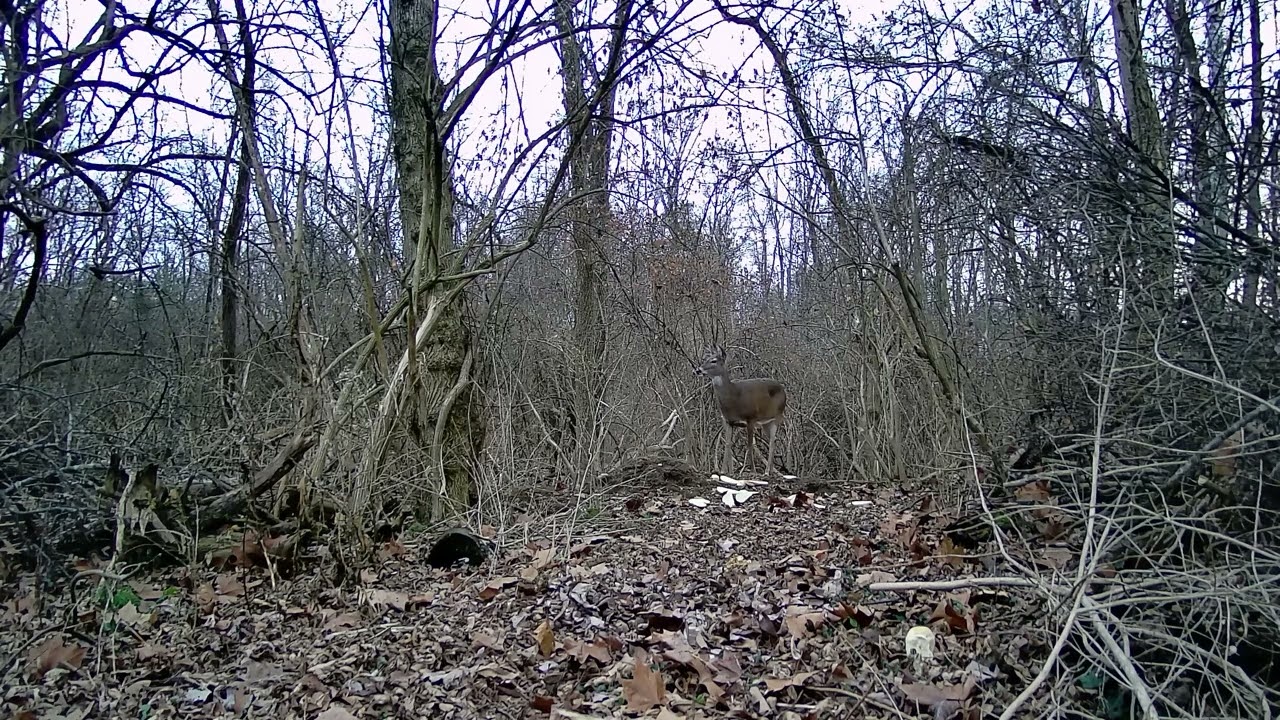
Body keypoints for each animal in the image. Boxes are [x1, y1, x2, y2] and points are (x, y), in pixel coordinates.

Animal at [694, 345, 787, 476]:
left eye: (714, 360)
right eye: (705, 359)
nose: (698, 370)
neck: (734, 397)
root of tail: (783, 389)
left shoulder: (751, 418)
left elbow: (749, 445)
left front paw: (752, 470)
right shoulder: (728, 421)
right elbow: (727, 444)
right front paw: (723, 471)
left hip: (777, 416)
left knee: (772, 442)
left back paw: (766, 472)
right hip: (765, 423)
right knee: (771, 441)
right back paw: (769, 471)